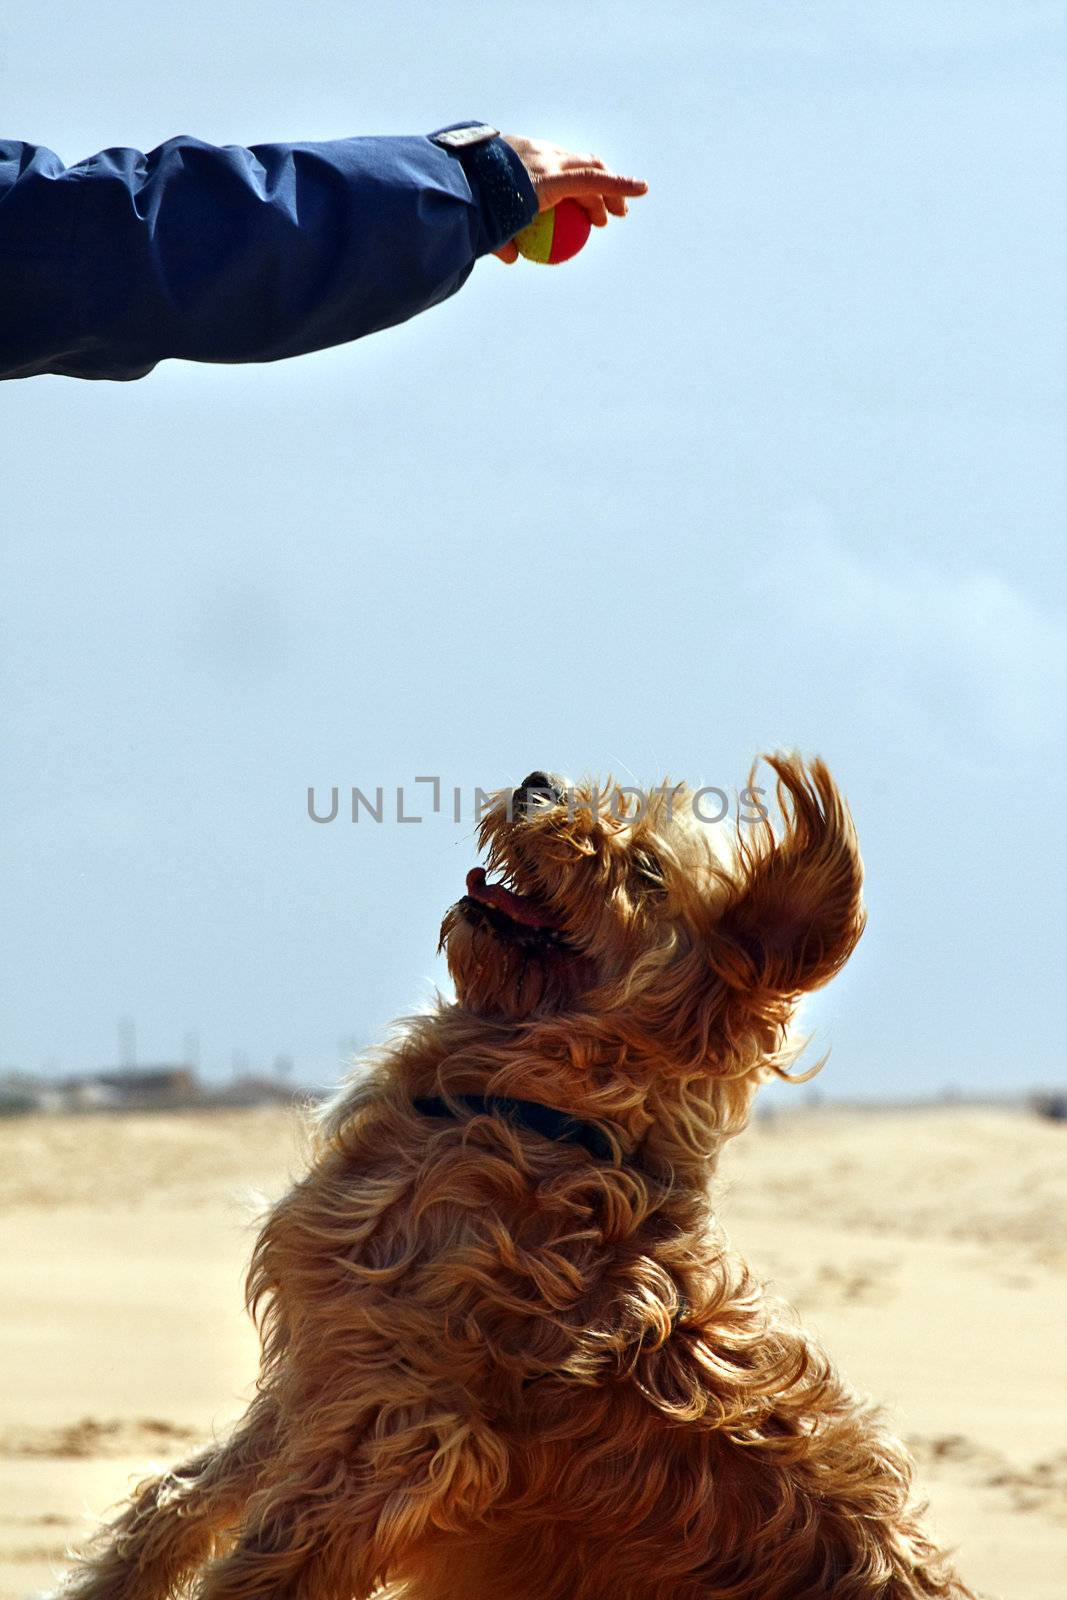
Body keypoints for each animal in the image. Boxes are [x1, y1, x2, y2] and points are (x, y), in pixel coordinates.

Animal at [60, 755, 979, 1593]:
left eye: (647, 871)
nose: (538, 781)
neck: (534, 1115)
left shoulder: (399, 1434)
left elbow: (262, 1566)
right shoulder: (317, 1380)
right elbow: (175, 1505)